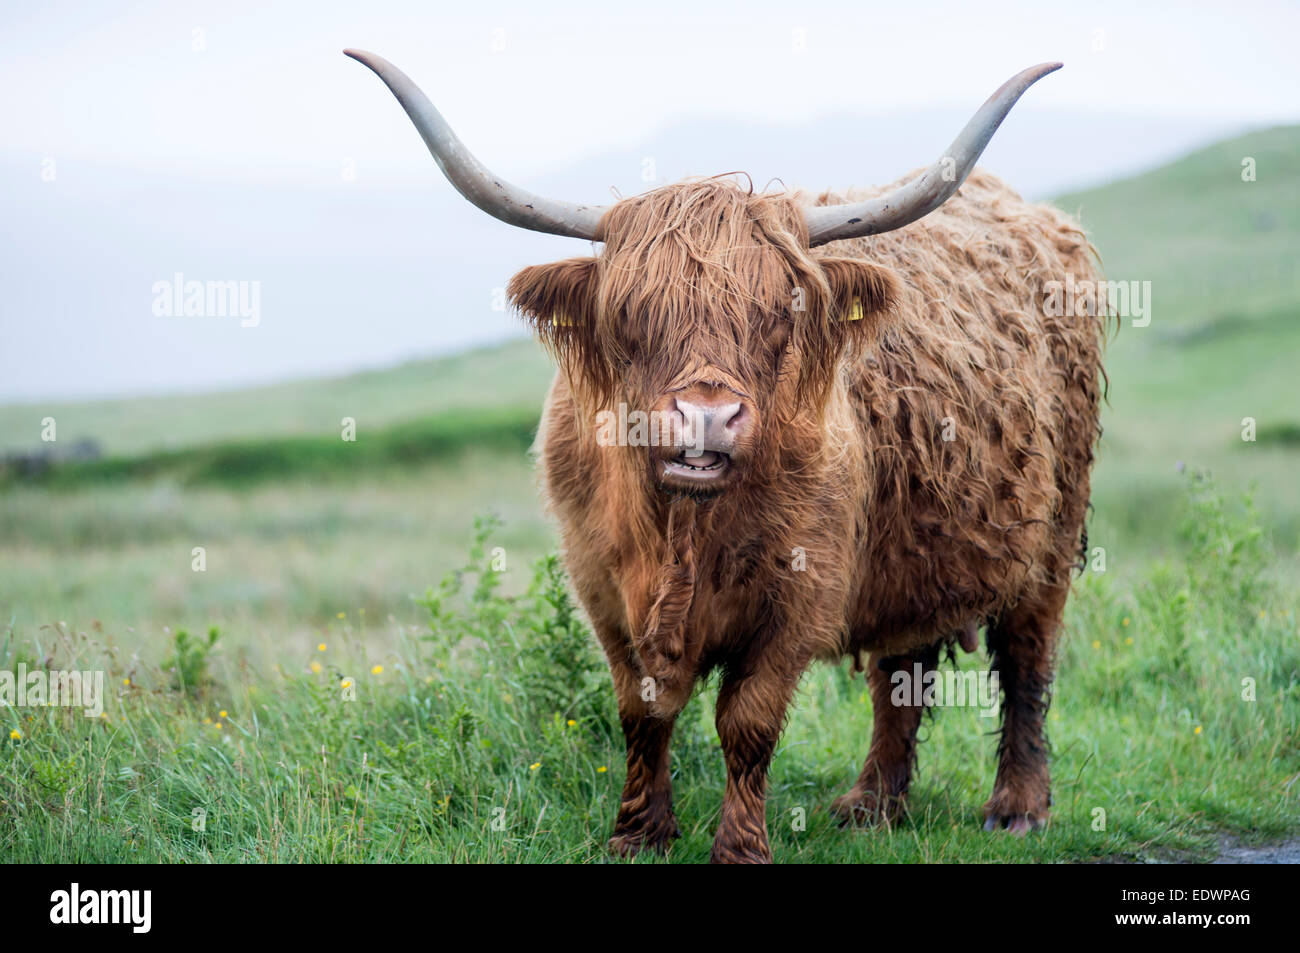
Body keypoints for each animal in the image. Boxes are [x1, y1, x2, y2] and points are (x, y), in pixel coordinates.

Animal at [347, 51, 1108, 863]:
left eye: (781, 312)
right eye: (628, 314)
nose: (706, 417)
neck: (682, 529)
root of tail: (1042, 221)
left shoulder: (801, 595)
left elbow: (747, 723)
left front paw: (739, 848)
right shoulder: (601, 588)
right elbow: (642, 710)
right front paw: (638, 833)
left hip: (1051, 534)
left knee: (1026, 655)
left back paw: (1018, 806)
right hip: (917, 542)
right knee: (901, 666)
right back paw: (872, 804)